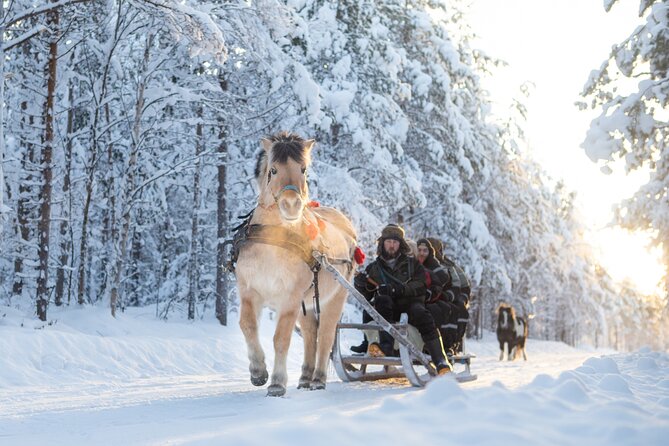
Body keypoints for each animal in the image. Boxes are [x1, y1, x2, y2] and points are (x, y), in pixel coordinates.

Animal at [235, 131, 360, 396]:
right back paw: (305, 378)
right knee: (311, 334)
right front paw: (258, 372)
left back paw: (318, 379)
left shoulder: (289, 297)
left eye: (303, 169)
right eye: (273, 170)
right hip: (308, 303)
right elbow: (248, 326)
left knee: (324, 336)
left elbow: (281, 338)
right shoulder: (249, 290)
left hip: (335, 298)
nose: (291, 204)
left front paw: (277, 383)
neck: (273, 241)